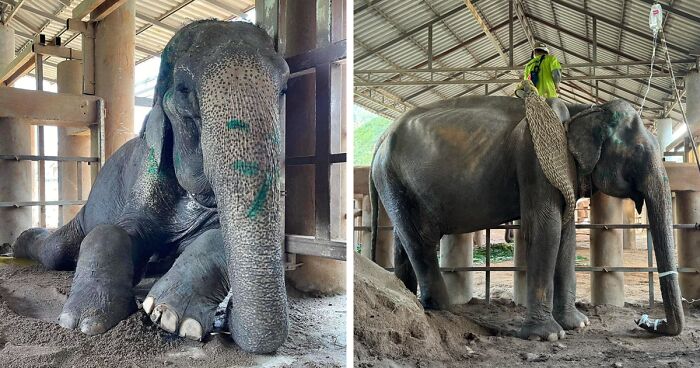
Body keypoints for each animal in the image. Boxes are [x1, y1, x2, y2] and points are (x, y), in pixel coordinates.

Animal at [11, 20, 290, 354]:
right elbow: (113, 230)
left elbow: (219, 235)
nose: (228, 321)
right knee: (56, 251)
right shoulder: (147, 170)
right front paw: (84, 322)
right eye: (183, 90)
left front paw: (171, 317)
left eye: (284, 89)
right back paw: (18, 245)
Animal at [372, 95, 684, 342]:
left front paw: (578, 325)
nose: (644, 321)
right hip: (392, 177)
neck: (583, 109)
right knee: (420, 240)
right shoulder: (535, 159)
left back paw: (409, 300)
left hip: (397, 184)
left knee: (404, 239)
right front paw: (548, 336)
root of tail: (380, 139)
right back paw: (443, 310)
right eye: (638, 152)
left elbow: (566, 234)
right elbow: (546, 228)